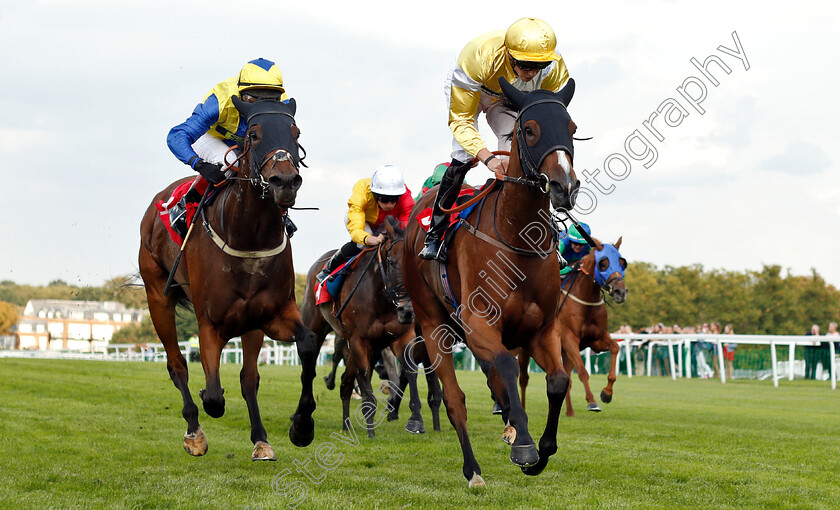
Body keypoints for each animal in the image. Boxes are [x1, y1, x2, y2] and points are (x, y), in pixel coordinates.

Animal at [139, 96, 316, 462]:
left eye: (296, 132)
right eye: (253, 133)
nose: (284, 181)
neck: (249, 235)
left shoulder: (272, 314)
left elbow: (306, 345)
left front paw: (302, 426)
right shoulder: (210, 323)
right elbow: (213, 396)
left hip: (251, 324)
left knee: (248, 378)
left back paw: (261, 439)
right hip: (157, 296)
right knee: (177, 365)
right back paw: (194, 433)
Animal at [298, 217, 442, 436]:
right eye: (391, 262)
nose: (407, 311)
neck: (380, 299)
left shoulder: (401, 338)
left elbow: (409, 372)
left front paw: (416, 420)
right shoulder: (359, 341)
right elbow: (367, 385)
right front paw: (371, 430)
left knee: (345, 383)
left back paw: (346, 425)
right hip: (316, 329)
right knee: (310, 371)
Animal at [404, 76, 580, 486]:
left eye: (572, 128)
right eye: (529, 130)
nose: (565, 187)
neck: (519, 238)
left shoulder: (541, 328)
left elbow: (557, 381)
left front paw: (541, 452)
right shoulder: (479, 322)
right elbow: (505, 365)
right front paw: (525, 447)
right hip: (432, 321)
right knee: (455, 400)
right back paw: (473, 471)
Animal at [516, 239, 628, 418]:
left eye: (622, 263)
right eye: (603, 263)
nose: (620, 291)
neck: (586, 301)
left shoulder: (596, 339)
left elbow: (615, 348)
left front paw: (607, 393)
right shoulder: (570, 339)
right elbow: (582, 371)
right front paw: (592, 401)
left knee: (565, 376)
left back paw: (569, 411)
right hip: (524, 349)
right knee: (523, 378)